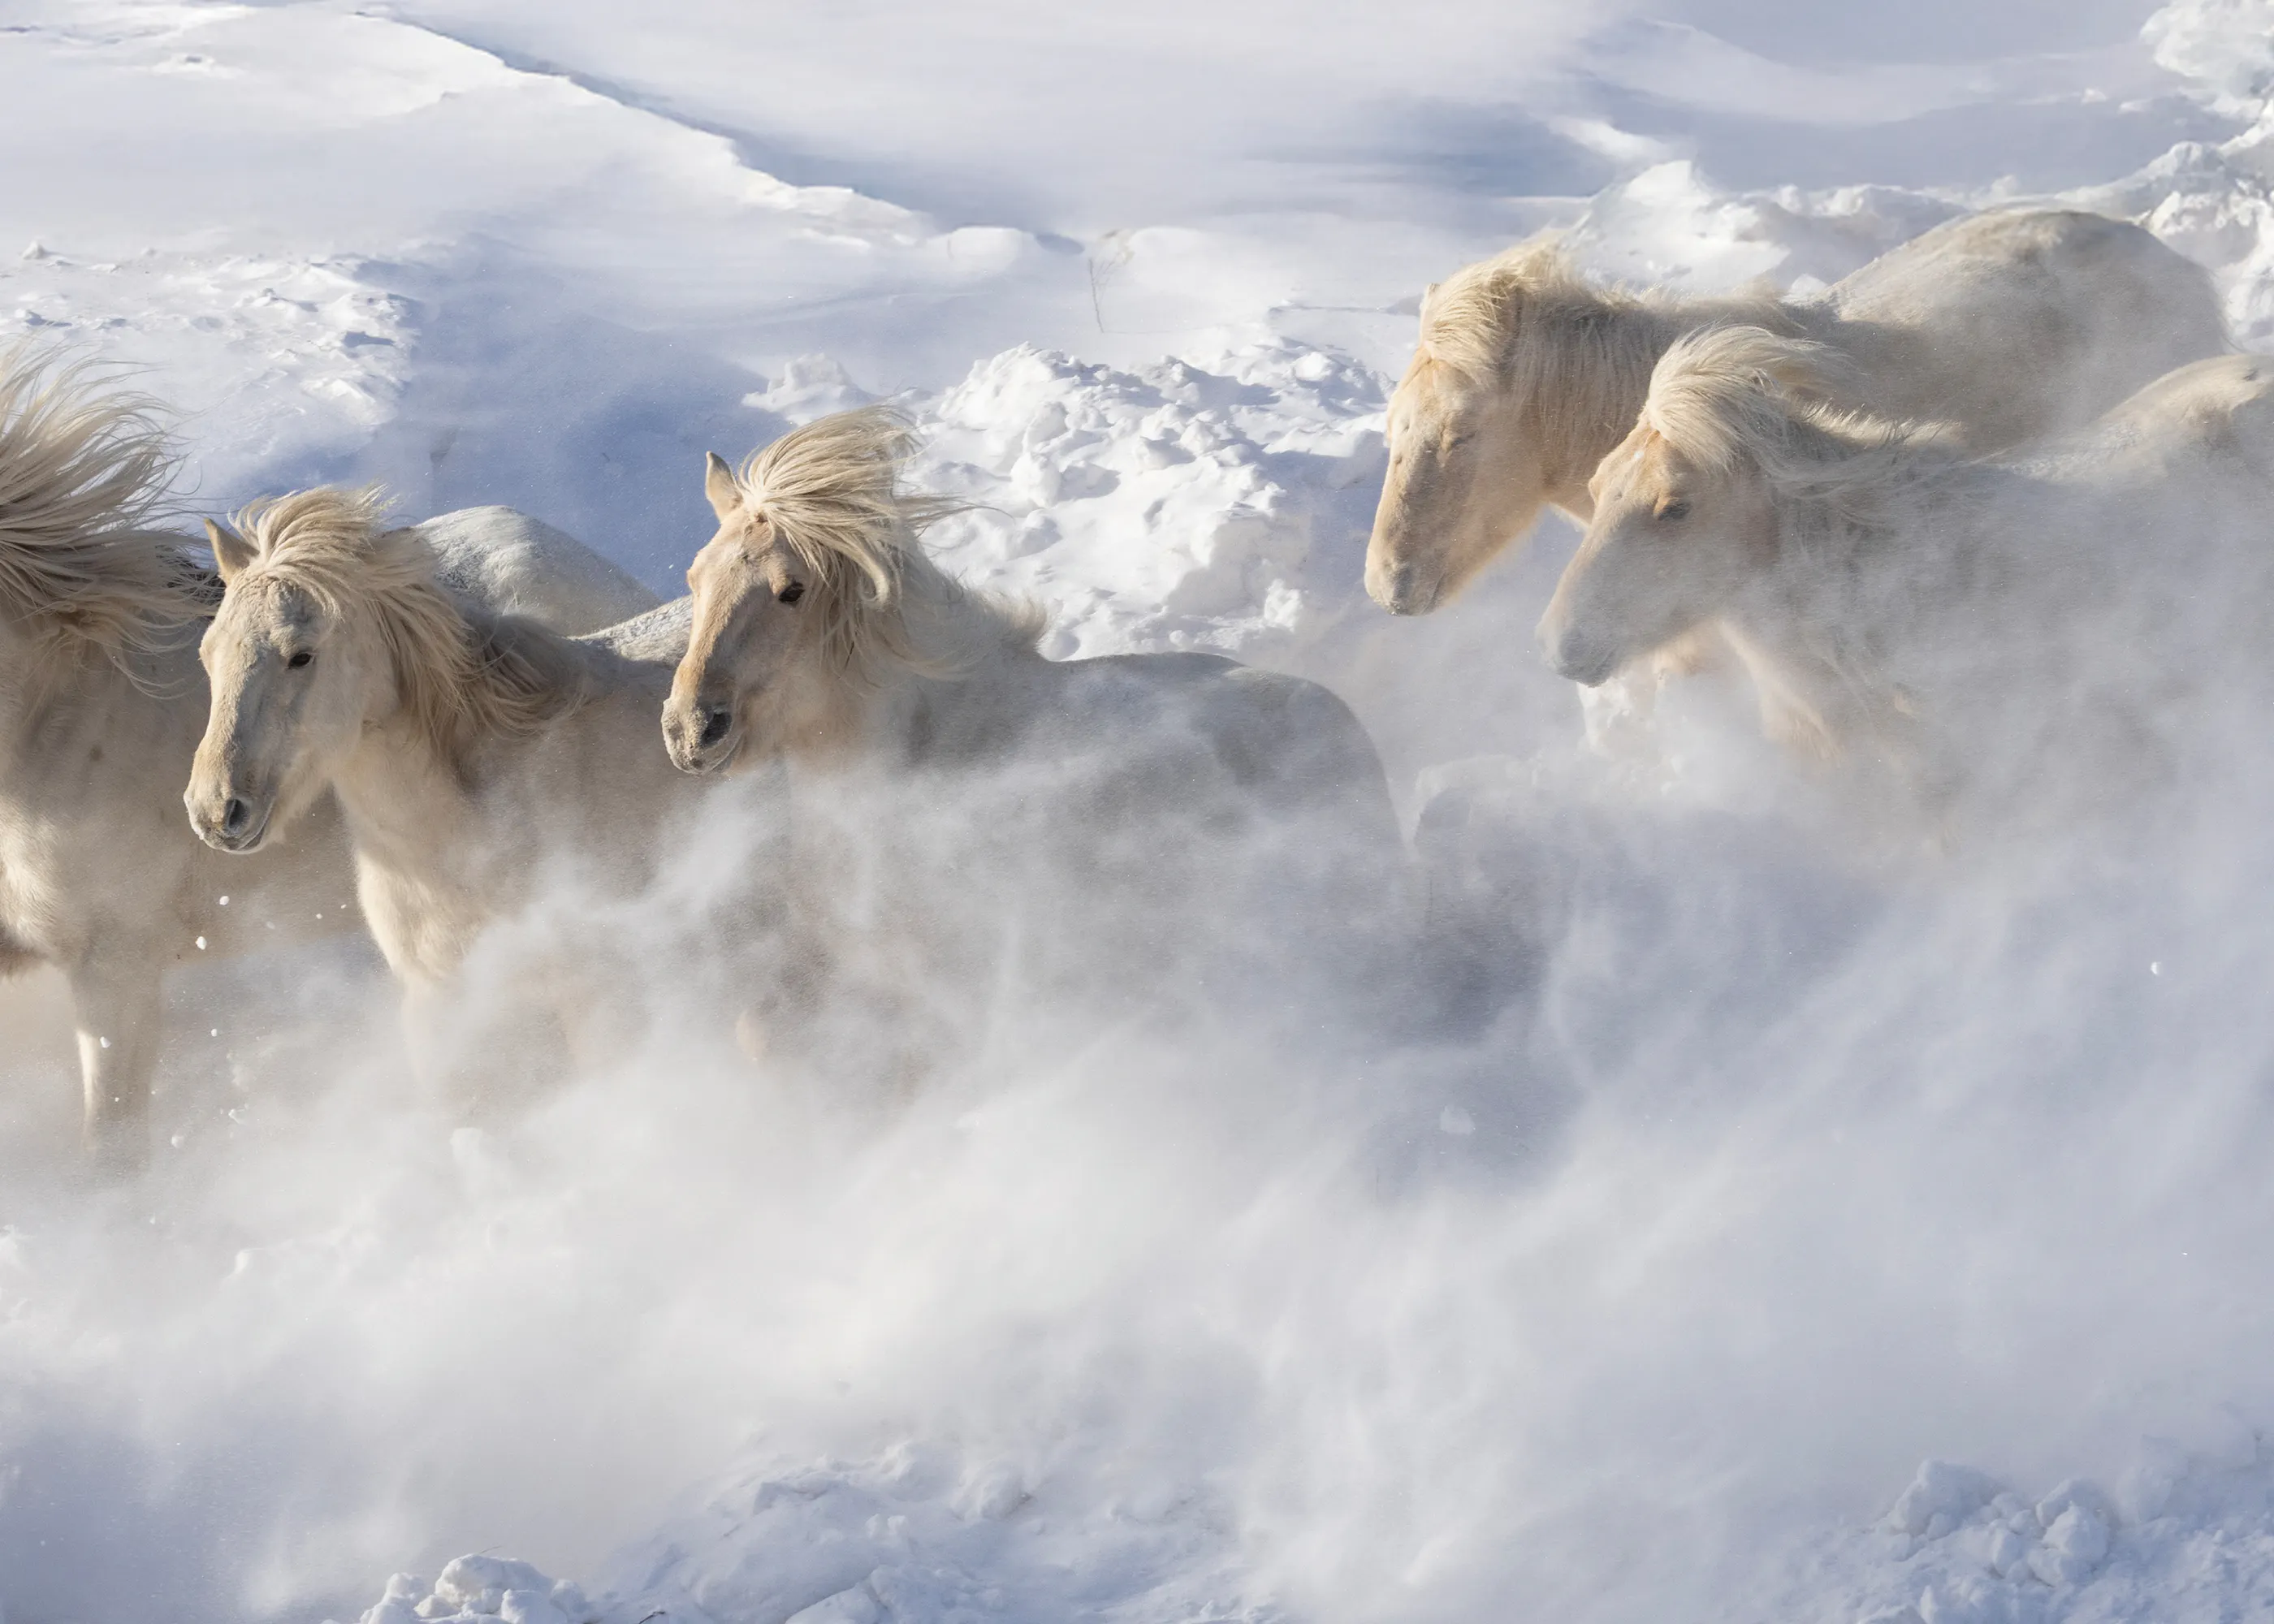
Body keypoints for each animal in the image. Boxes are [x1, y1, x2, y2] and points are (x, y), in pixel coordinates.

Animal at [0, 350, 661, 1171]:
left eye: (300, 656)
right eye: (207, 654)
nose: (215, 814)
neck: (51, 726)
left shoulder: (113, 966)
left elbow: (110, 1152)